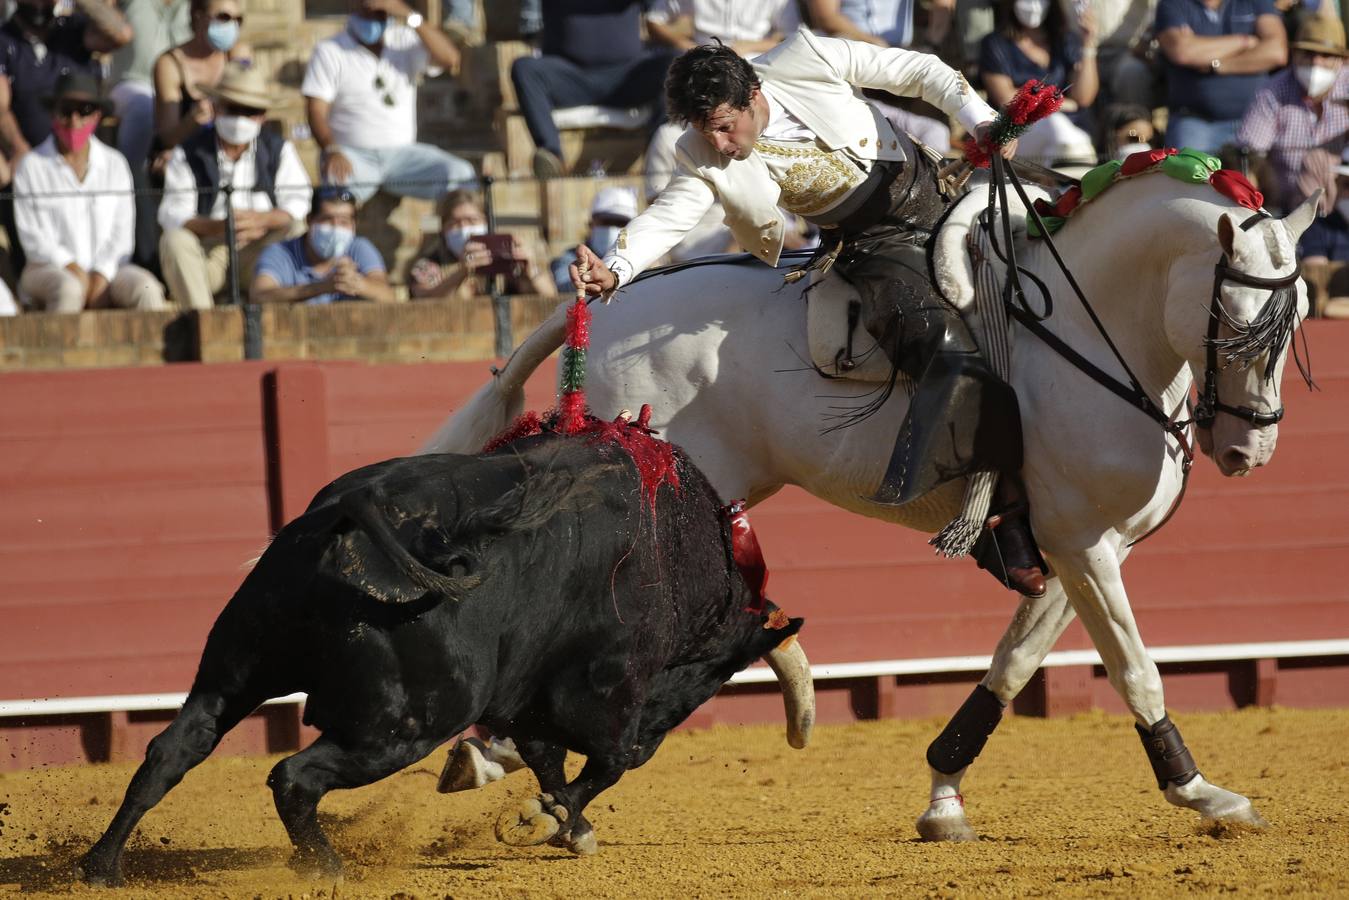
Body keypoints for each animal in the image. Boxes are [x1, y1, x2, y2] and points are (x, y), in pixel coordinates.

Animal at [78, 431, 814, 885]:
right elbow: (602, 764)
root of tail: (350, 514)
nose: (655, 739)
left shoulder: (526, 695)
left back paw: (101, 865)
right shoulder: (600, 691)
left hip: (236, 667)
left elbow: (550, 759)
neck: (678, 556)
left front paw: (563, 826)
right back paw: (326, 869)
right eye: (707, 680)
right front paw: (543, 823)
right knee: (294, 775)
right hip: (407, 723)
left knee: (173, 749)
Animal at [431, 172, 1316, 841]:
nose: (1249, 451)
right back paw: (509, 763)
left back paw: (499, 761)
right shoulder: (1082, 542)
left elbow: (1013, 663)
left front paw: (942, 797)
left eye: (1300, 316)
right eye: (1235, 327)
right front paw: (1201, 792)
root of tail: (607, 304)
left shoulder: (1081, 546)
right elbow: (1135, 669)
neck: (1088, 331)